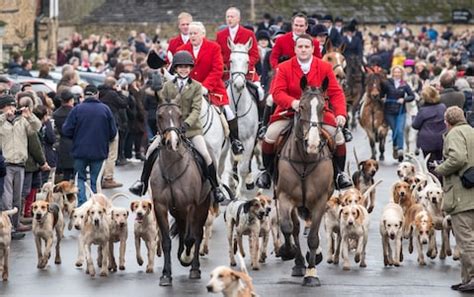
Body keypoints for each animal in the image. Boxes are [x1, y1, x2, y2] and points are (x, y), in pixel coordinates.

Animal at [152, 100, 211, 286]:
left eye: (179, 116)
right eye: (160, 116)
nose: (172, 142)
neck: (172, 167)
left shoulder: (191, 205)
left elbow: (191, 238)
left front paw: (187, 258)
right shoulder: (161, 207)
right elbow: (166, 241)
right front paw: (166, 275)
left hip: (201, 207)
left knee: (196, 234)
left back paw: (194, 267)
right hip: (178, 211)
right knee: (183, 229)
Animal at [274, 77, 334, 286]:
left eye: (324, 107)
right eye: (301, 106)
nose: (313, 144)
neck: (306, 159)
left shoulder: (320, 201)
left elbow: (314, 238)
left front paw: (312, 273)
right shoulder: (284, 197)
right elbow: (287, 227)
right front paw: (288, 252)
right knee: (295, 228)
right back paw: (299, 263)